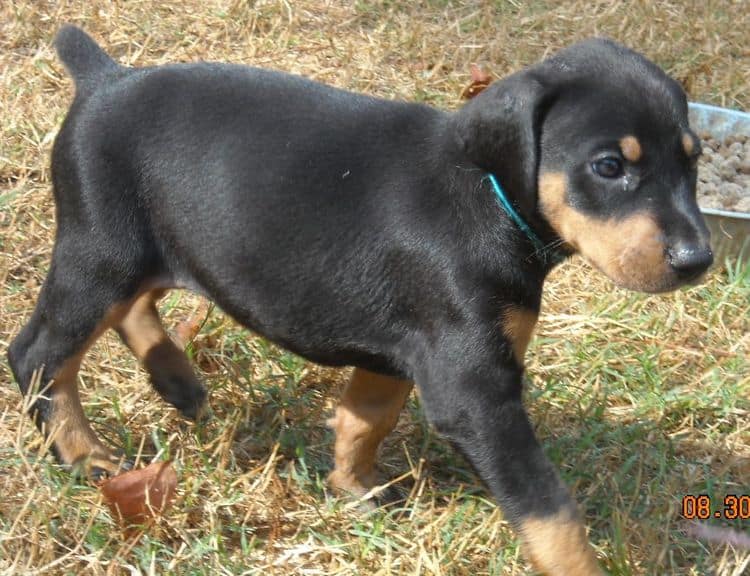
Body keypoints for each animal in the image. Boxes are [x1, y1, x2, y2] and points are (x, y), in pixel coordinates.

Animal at [7, 27, 712, 576]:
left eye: (694, 161)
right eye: (609, 167)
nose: (697, 261)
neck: (488, 194)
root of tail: (104, 79)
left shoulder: (401, 346)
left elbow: (365, 416)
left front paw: (353, 489)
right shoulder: (473, 389)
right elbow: (550, 508)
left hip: (150, 248)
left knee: (129, 310)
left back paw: (177, 380)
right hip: (103, 249)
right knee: (38, 355)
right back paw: (84, 454)